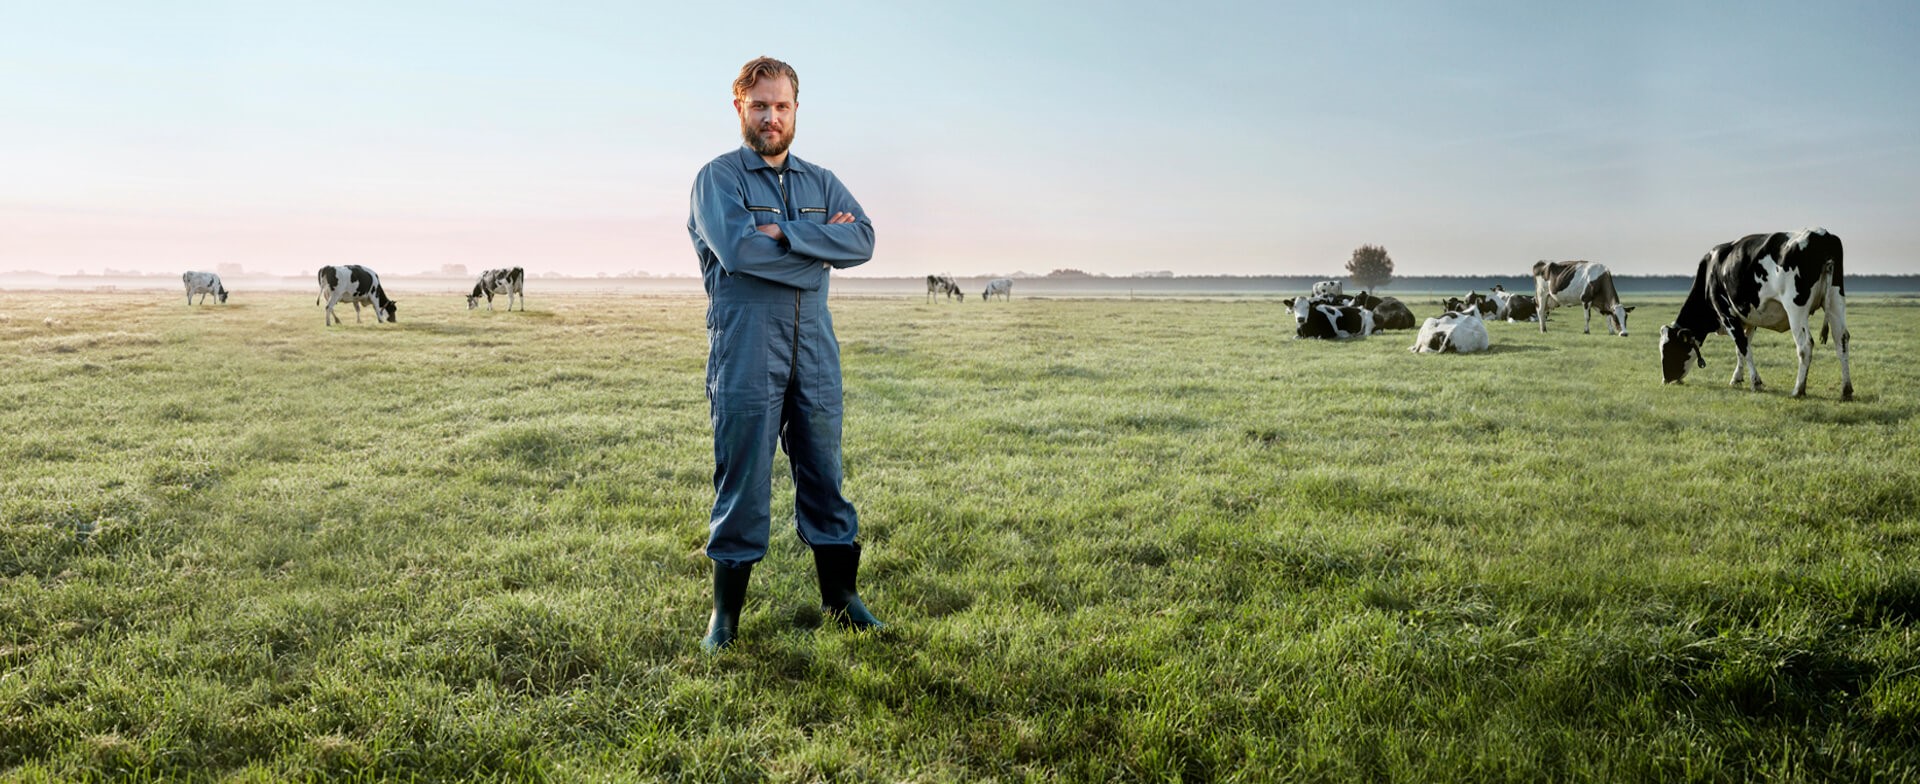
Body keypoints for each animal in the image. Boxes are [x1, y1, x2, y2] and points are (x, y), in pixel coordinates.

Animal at [1658, 224, 1850, 397]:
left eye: (1668, 349)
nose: (1666, 380)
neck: (1709, 274)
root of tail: (1822, 234)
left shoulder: (1726, 314)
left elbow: (1743, 347)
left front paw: (1755, 382)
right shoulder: (1749, 318)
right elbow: (1742, 347)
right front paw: (1737, 378)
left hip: (1796, 307)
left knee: (1805, 345)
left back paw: (1798, 390)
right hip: (1835, 299)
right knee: (1841, 339)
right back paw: (1846, 390)